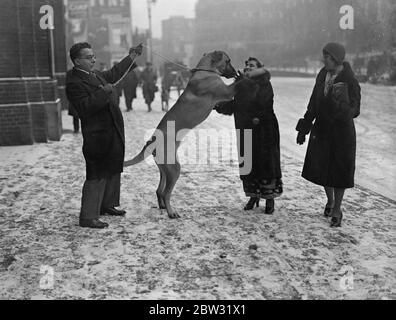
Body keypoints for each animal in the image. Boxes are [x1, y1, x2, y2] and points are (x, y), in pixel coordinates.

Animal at [125, 51, 240, 219]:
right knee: (166, 193)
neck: (205, 71)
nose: (235, 72)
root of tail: (152, 141)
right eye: (228, 61)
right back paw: (171, 212)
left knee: (159, 190)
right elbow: (235, 86)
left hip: (165, 168)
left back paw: (162, 206)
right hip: (174, 169)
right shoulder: (226, 91)